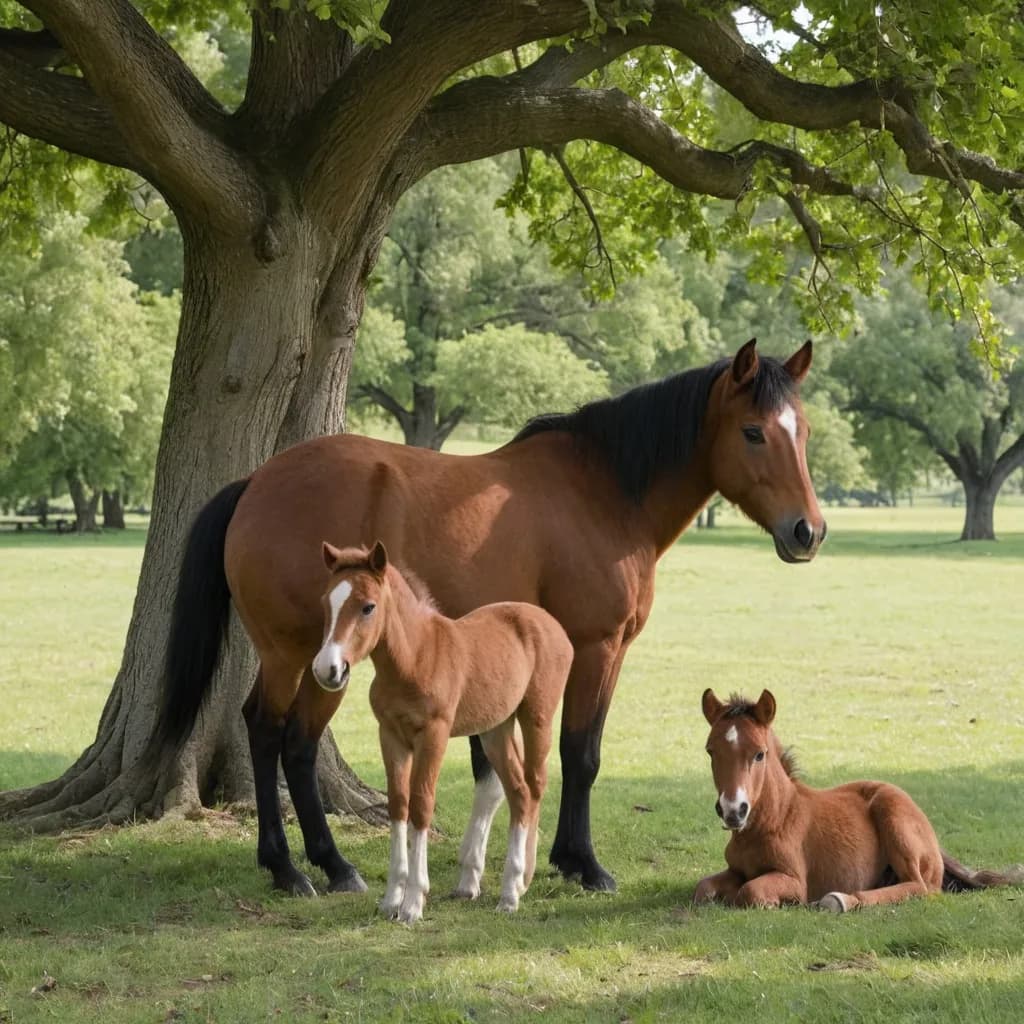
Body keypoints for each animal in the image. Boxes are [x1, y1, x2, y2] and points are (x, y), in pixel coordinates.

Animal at [313, 540, 573, 922]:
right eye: (325, 602)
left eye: (368, 606)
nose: (327, 669)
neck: (414, 660)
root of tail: (553, 625)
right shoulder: (390, 735)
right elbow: (399, 804)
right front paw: (391, 899)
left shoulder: (433, 735)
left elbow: (422, 804)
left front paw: (413, 903)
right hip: (495, 729)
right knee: (518, 791)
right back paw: (509, 888)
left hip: (537, 716)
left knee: (536, 783)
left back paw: (517, 886)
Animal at [694, 689, 1023, 910]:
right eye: (711, 751)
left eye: (760, 754)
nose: (733, 811)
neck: (773, 819)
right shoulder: (735, 870)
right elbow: (704, 888)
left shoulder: (794, 880)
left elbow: (750, 892)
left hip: (894, 817)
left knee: (919, 887)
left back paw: (839, 900)